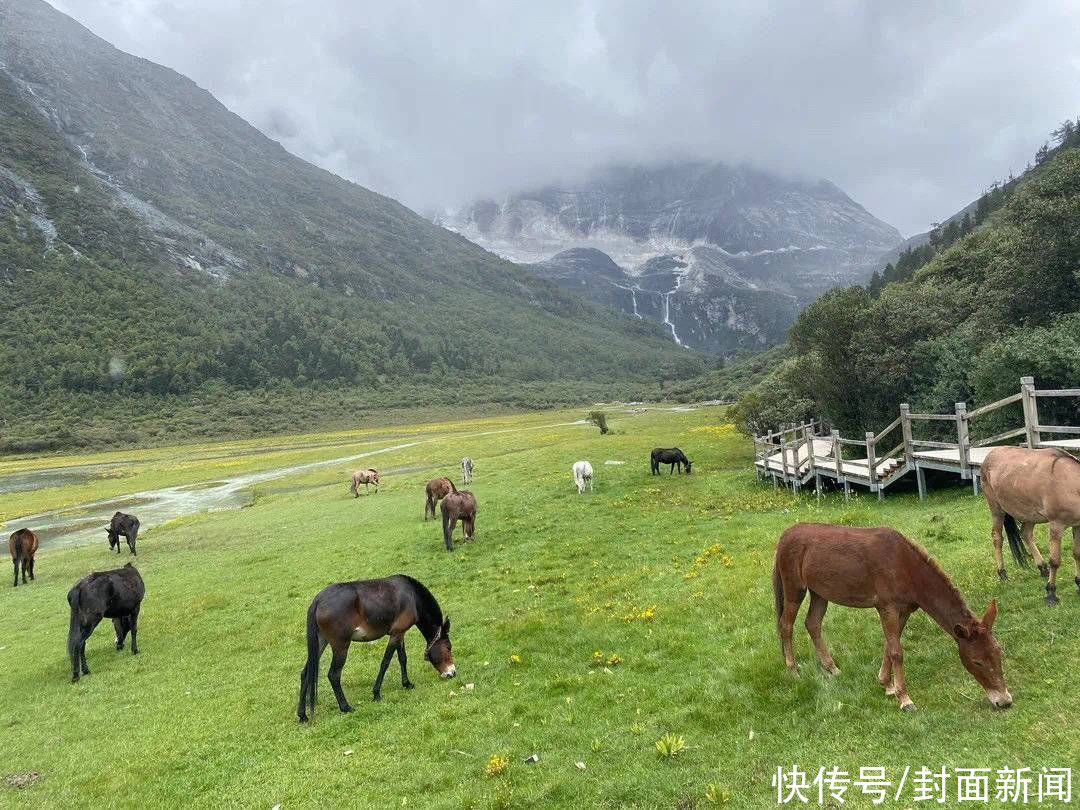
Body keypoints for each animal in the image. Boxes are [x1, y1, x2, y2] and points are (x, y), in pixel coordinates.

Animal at [295, 570, 455, 721]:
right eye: (448, 647)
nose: (452, 673)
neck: (412, 597)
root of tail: (318, 600)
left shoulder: (399, 634)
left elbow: (402, 658)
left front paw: (407, 684)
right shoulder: (396, 635)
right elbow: (385, 662)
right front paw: (376, 693)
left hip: (321, 642)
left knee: (306, 672)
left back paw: (302, 715)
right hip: (341, 646)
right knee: (333, 675)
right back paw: (345, 707)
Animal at [773, 527, 1006, 708]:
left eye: (998, 653)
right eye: (977, 662)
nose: (1004, 701)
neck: (905, 567)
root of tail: (784, 536)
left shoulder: (904, 611)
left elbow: (890, 646)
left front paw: (887, 685)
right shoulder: (888, 607)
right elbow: (896, 652)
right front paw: (905, 699)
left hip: (820, 593)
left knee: (813, 623)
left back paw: (832, 669)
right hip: (795, 589)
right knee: (786, 625)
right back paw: (793, 671)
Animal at [984, 447, 1075, 604]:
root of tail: (990, 454)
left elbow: (1077, 554)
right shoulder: (1056, 525)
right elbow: (1055, 560)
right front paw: (1051, 594)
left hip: (1029, 514)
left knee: (1025, 533)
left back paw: (1042, 568)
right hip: (996, 510)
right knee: (997, 538)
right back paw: (1003, 574)